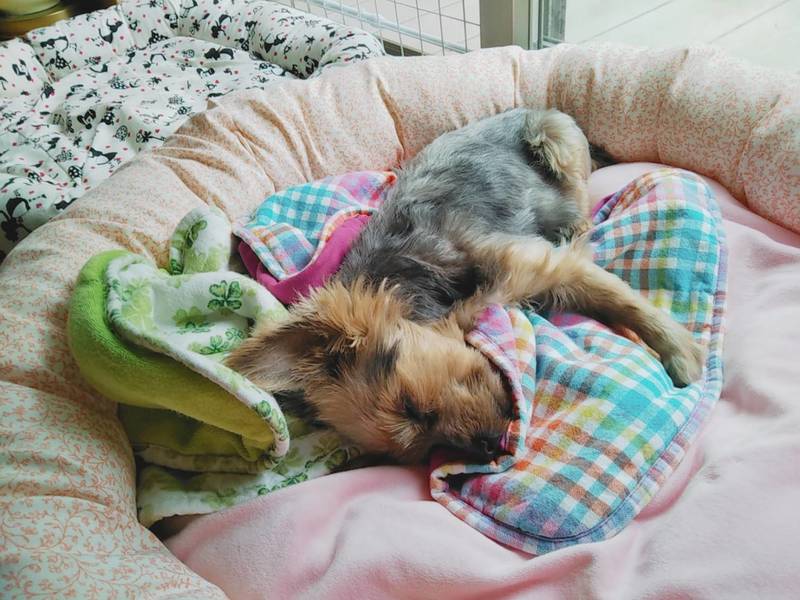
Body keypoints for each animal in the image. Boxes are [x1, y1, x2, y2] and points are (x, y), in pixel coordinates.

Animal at [226, 108, 704, 464]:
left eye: (411, 406)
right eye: (422, 449)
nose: (490, 447)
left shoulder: (539, 263)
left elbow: (624, 302)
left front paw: (682, 354)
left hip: (554, 138)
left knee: (577, 191)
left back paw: (576, 222)